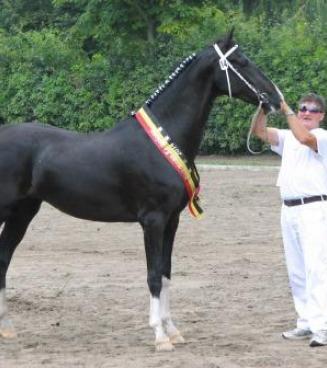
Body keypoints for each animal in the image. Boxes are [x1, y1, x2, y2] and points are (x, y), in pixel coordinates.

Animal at [0, 32, 282, 350]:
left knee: (3, 259)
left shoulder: (172, 220)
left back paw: (6, 328)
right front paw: (160, 336)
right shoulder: (153, 221)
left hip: (23, 213)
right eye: (241, 61)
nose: (275, 99)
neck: (163, 140)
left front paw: (173, 330)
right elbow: (153, 276)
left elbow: (166, 273)